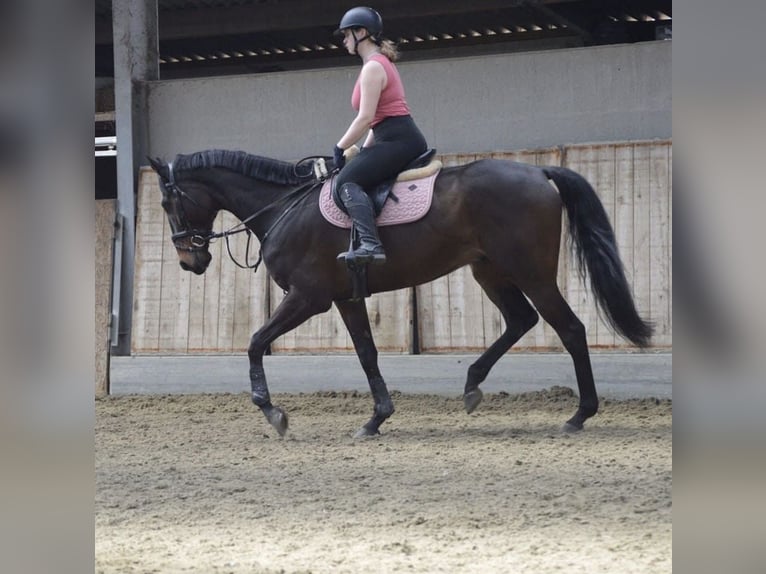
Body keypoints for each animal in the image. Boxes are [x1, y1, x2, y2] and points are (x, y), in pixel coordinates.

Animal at [148, 149, 653, 438]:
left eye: (168, 202)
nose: (190, 261)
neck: (285, 207)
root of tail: (538, 172)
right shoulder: (346, 298)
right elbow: (366, 354)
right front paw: (377, 418)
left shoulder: (308, 297)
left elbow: (255, 343)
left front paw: (273, 412)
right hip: (488, 271)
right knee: (520, 321)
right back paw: (472, 385)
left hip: (531, 273)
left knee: (570, 329)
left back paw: (580, 415)